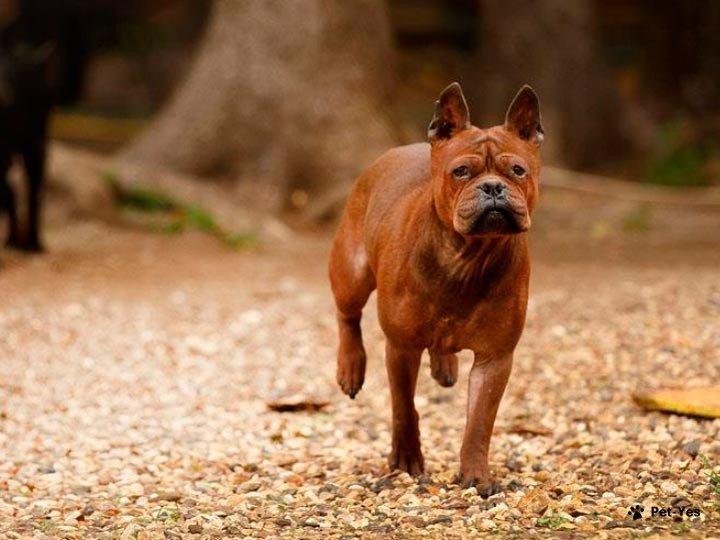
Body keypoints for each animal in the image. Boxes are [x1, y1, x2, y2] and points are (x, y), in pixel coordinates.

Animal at [330, 81, 544, 494]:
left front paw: (475, 474)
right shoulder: (401, 348)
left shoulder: (495, 359)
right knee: (348, 316)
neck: (467, 256)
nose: (493, 188)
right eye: (461, 171)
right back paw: (350, 366)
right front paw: (405, 458)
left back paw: (444, 364)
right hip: (351, 273)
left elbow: (479, 422)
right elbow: (403, 406)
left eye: (517, 171)